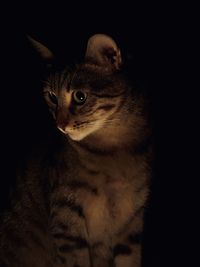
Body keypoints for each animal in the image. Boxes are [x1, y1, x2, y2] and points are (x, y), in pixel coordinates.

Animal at [0, 33, 152, 267]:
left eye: (80, 96)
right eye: (52, 96)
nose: (60, 125)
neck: (113, 152)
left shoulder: (131, 223)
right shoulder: (67, 219)